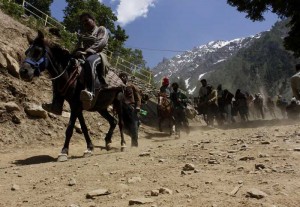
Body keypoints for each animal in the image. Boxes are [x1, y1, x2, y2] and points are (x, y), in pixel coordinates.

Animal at [19, 30, 134, 160]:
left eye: (38, 52)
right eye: (27, 52)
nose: (23, 72)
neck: (69, 74)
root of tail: (122, 78)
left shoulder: (75, 106)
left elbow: (69, 129)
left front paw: (64, 152)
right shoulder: (76, 106)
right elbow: (84, 127)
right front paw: (89, 148)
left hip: (118, 102)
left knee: (120, 123)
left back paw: (123, 144)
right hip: (101, 107)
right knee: (113, 121)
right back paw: (108, 142)